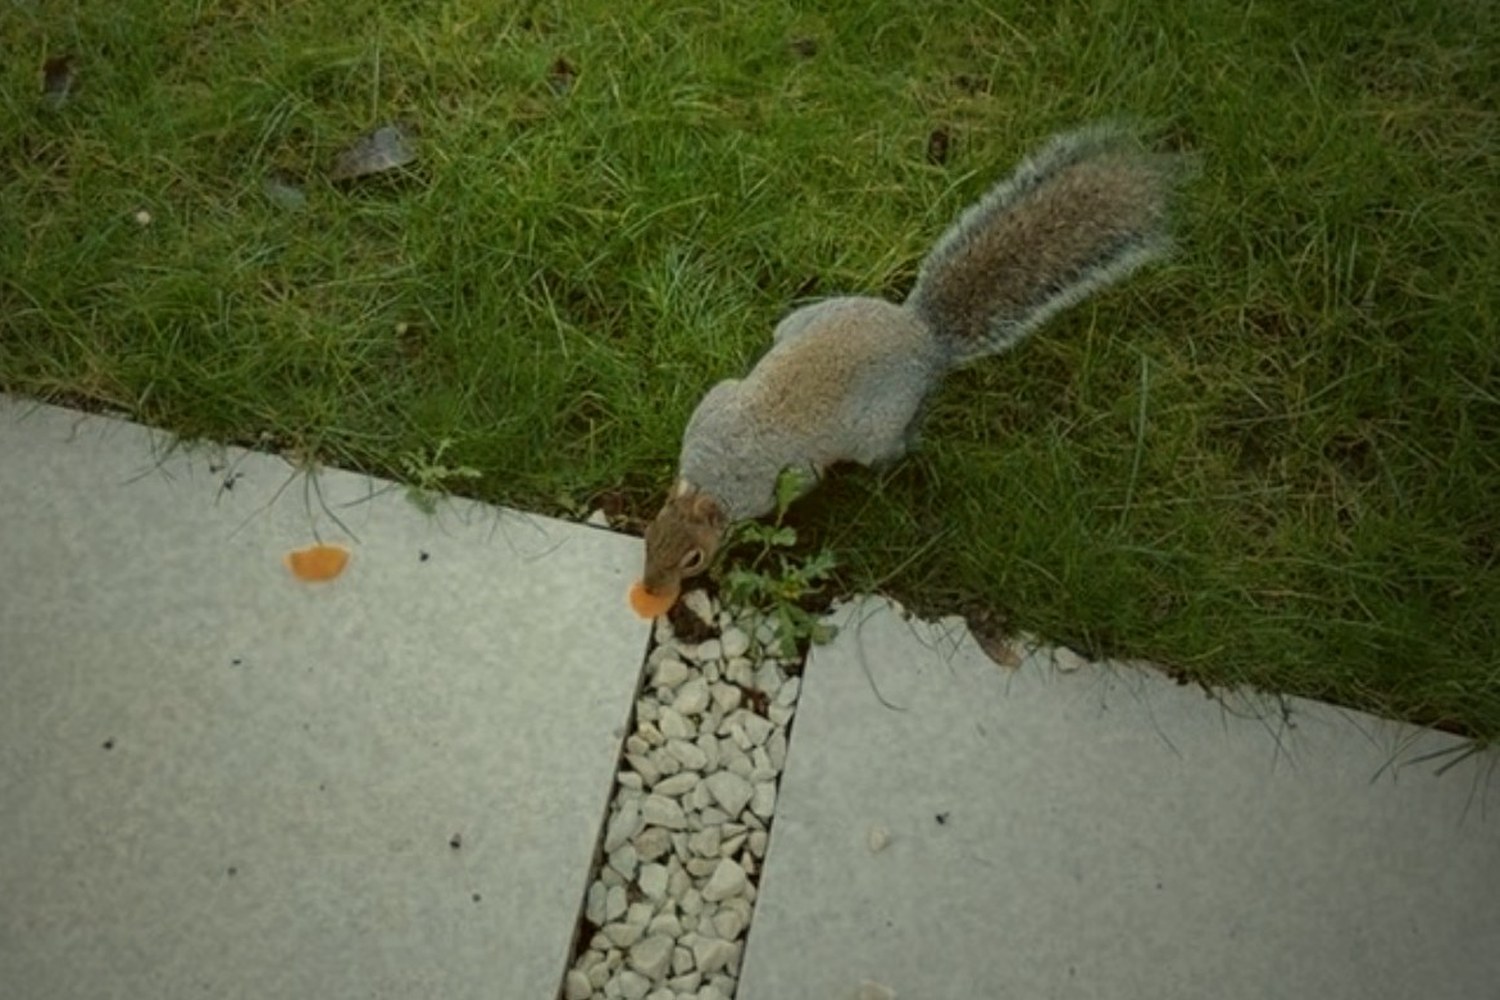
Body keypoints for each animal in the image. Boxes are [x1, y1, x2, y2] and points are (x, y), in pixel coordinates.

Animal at [628, 123, 1188, 619]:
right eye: (650, 533)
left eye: (694, 558)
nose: (651, 589)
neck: (715, 473)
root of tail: (923, 334)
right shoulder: (716, 403)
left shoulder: (787, 474)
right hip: (809, 319)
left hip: (878, 429)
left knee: (894, 446)